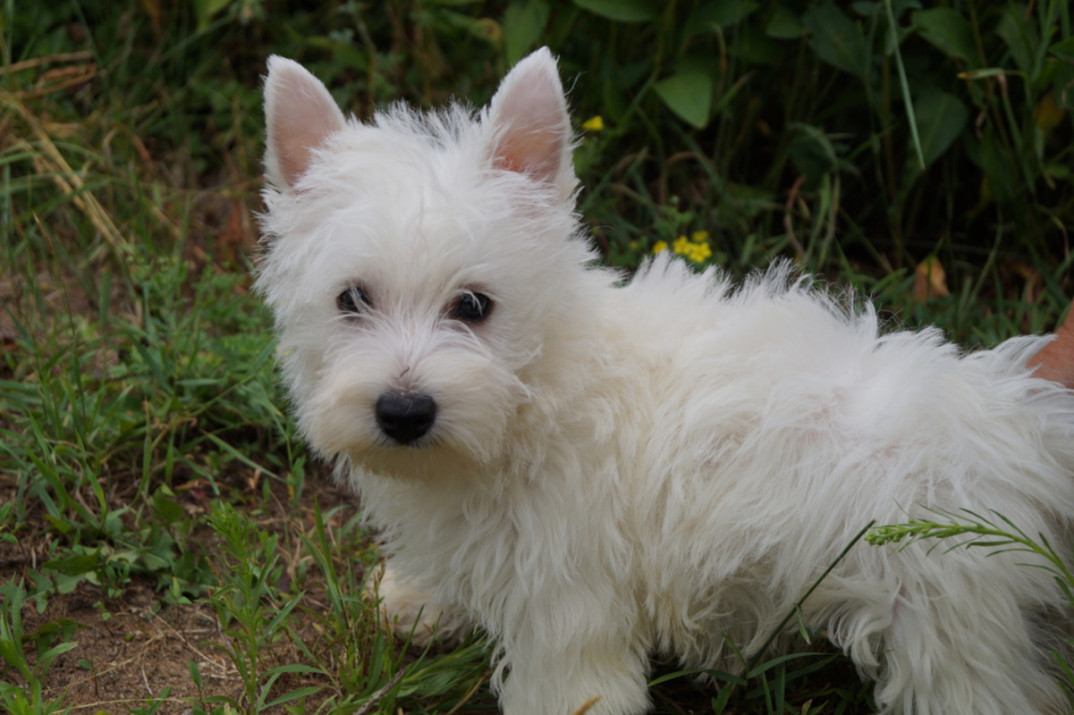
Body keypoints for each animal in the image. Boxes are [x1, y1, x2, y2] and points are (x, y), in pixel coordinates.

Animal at [257, 47, 1074, 708]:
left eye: (474, 306)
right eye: (351, 299)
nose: (404, 412)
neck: (541, 392)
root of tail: (1013, 414)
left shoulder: (567, 606)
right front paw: (421, 600)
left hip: (948, 636)